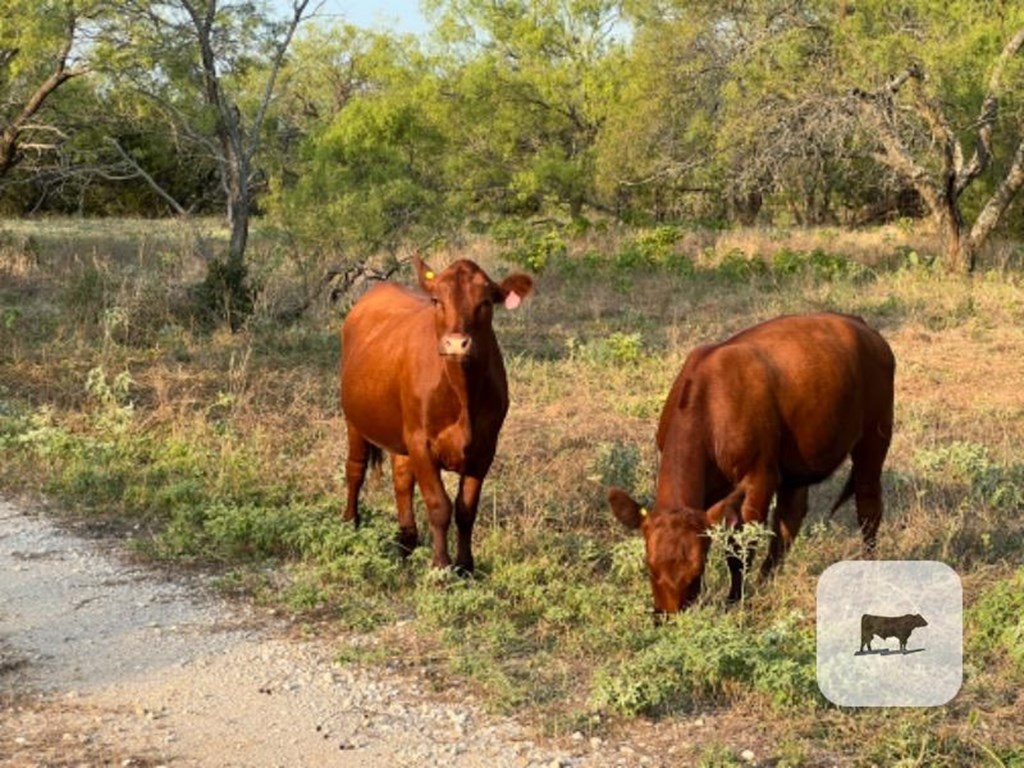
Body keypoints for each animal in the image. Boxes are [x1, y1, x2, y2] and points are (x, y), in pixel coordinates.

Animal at [339, 256, 532, 573]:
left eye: (485, 302)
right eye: (437, 300)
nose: (456, 344)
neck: (462, 394)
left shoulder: (485, 448)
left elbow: (466, 509)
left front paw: (466, 566)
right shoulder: (421, 443)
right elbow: (439, 505)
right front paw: (440, 565)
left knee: (401, 480)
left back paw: (406, 542)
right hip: (354, 419)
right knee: (355, 469)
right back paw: (350, 523)